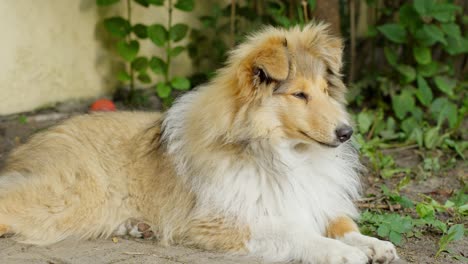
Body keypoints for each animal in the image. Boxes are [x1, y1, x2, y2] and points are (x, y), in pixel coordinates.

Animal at [0, 23, 398, 262]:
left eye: (324, 91)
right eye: (299, 95)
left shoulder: (315, 200)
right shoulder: (224, 220)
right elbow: (295, 232)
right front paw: (338, 252)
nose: (346, 133)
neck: (282, 153)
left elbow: (345, 226)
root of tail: (30, 145)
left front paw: (376, 245)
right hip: (67, 199)